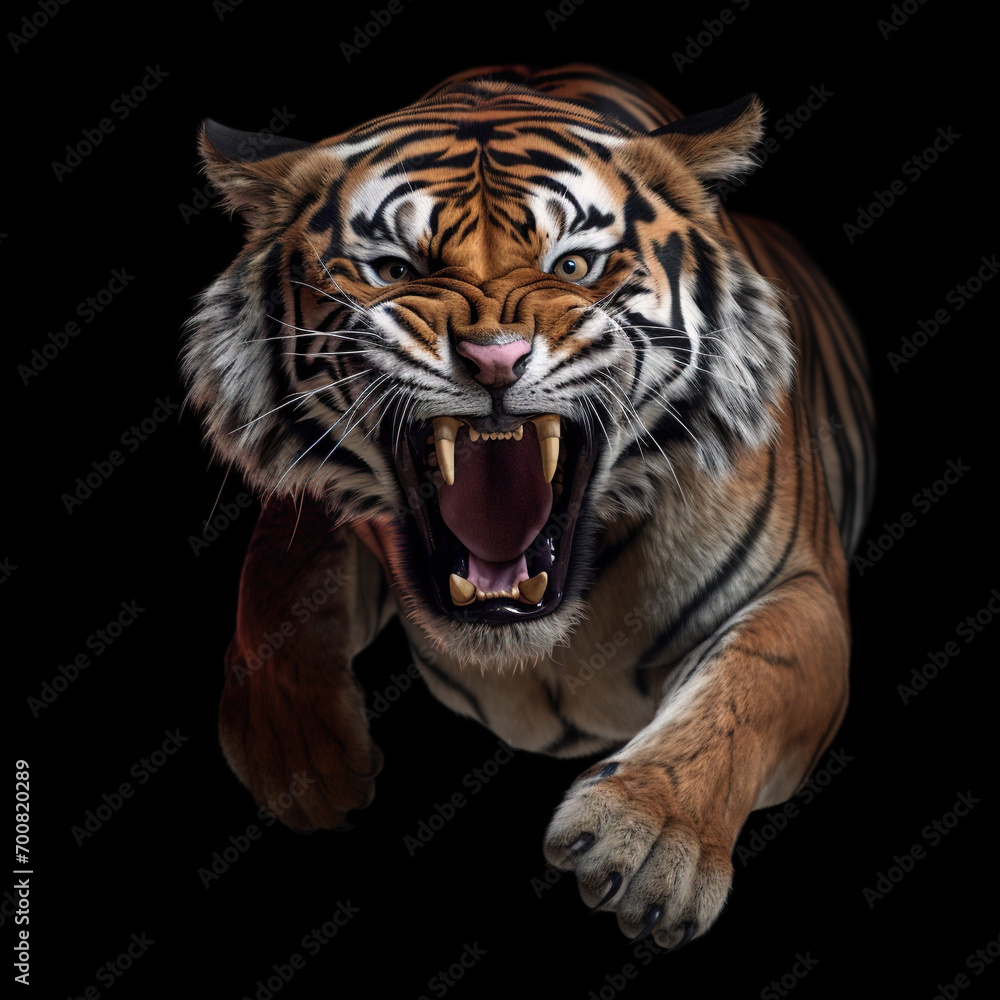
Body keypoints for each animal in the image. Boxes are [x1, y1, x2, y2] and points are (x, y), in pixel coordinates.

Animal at [183, 63, 874, 949]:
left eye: (574, 265)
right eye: (395, 268)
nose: (494, 360)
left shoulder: (800, 587)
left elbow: (750, 684)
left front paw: (649, 841)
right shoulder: (320, 496)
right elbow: (275, 579)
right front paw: (299, 755)